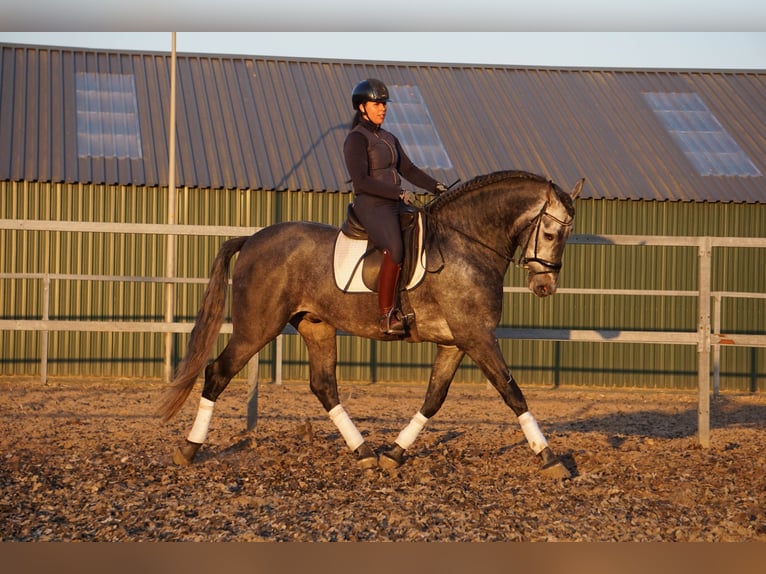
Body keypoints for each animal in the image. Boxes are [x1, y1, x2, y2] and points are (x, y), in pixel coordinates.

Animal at [159, 171, 584, 482]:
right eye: (550, 233)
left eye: (567, 235)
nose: (544, 287)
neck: (466, 244)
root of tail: (251, 240)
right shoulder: (477, 337)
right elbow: (512, 393)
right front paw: (550, 459)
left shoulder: (455, 342)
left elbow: (434, 399)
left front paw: (394, 454)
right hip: (257, 327)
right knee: (218, 372)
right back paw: (188, 449)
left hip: (315, 325)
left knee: (324, 386)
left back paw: (364, 453)